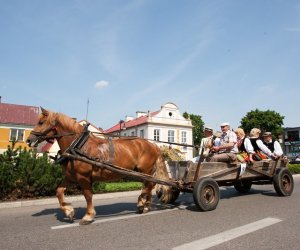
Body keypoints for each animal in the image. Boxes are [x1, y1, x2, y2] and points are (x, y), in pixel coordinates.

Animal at [27, 107, 172, 225]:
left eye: (41, 122)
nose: (29, 140)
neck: (78, 145)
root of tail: (153, 145)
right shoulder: (70, 177)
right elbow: (58, 191)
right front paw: (69, 211)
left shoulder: (83, 178)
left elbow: (88, 196)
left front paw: (88, 216)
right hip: (143, 172)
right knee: (150, 185)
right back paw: (146, 205)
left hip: (145, 171)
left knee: (149, 185)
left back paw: (141, 203)